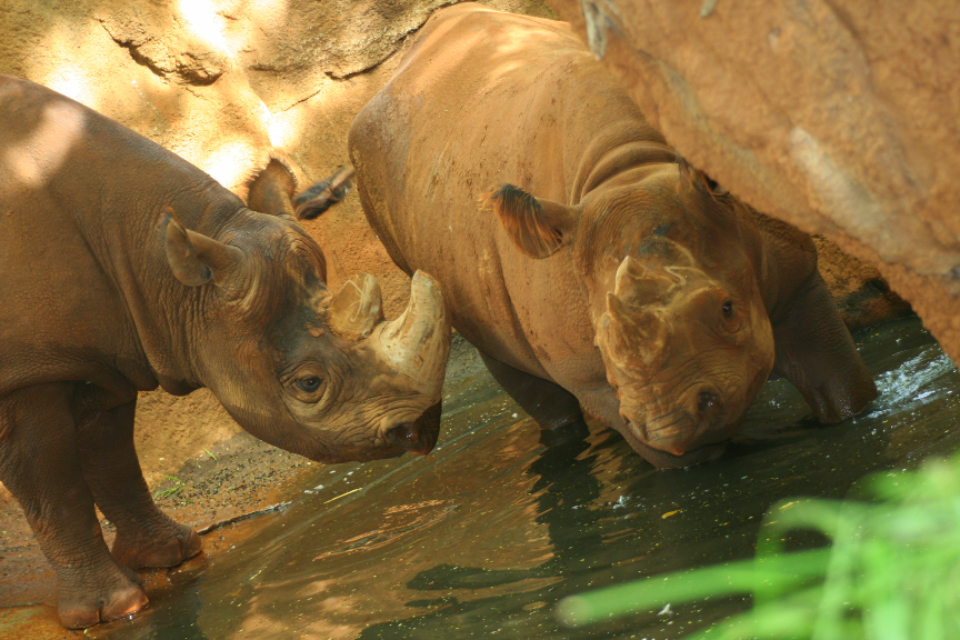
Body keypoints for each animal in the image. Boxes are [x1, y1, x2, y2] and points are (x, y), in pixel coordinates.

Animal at [0, 75, 450, 628]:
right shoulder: (25, 374)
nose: (425, 426)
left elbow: (113, 457)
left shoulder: (103, 358)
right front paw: (112, 610)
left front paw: (172, 553)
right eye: (309, 384)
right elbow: (55, 490)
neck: (157, 265)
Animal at [345, 5, 876, 470]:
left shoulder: (794, 275)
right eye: (600, 347)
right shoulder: (598, 381)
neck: (631, 166)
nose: (668, 424)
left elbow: (843, 386)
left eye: (728, 309)